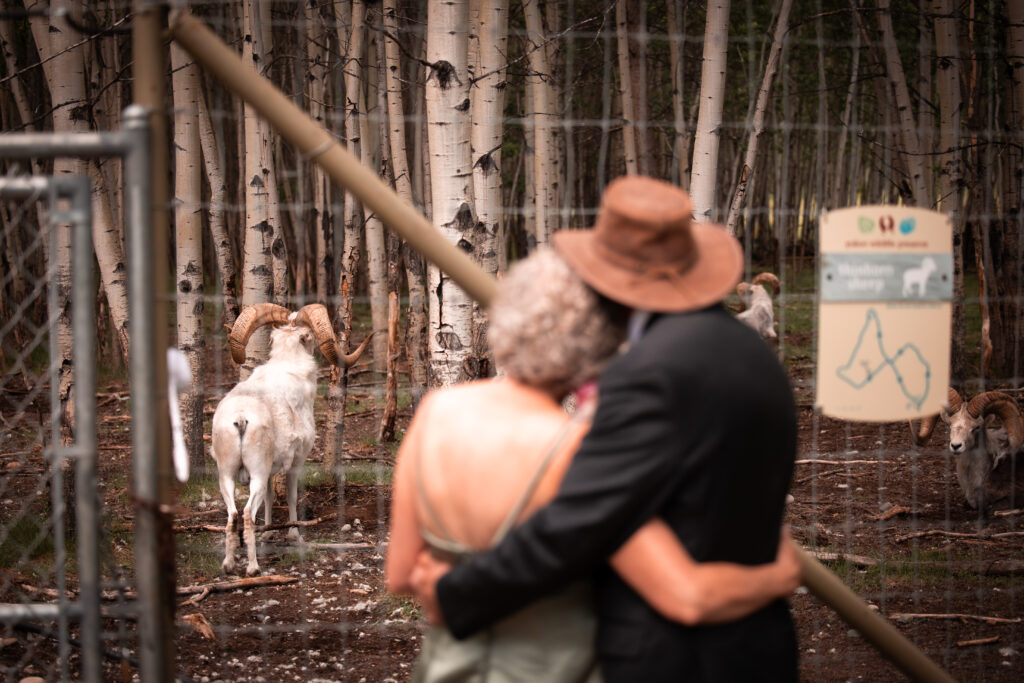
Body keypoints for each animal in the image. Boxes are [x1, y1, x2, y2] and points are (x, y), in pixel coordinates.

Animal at [211, 301, 372, 573]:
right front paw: (294, 536)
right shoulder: (296, 463)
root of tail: (241, 418)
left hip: (227, 475)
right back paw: (253, 568)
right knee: (246, 514)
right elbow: (292, 497)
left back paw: (228, 565)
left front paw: (268, 533)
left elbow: (269, 498)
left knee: (233, 515)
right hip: (255, 473)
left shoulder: (270, 472)